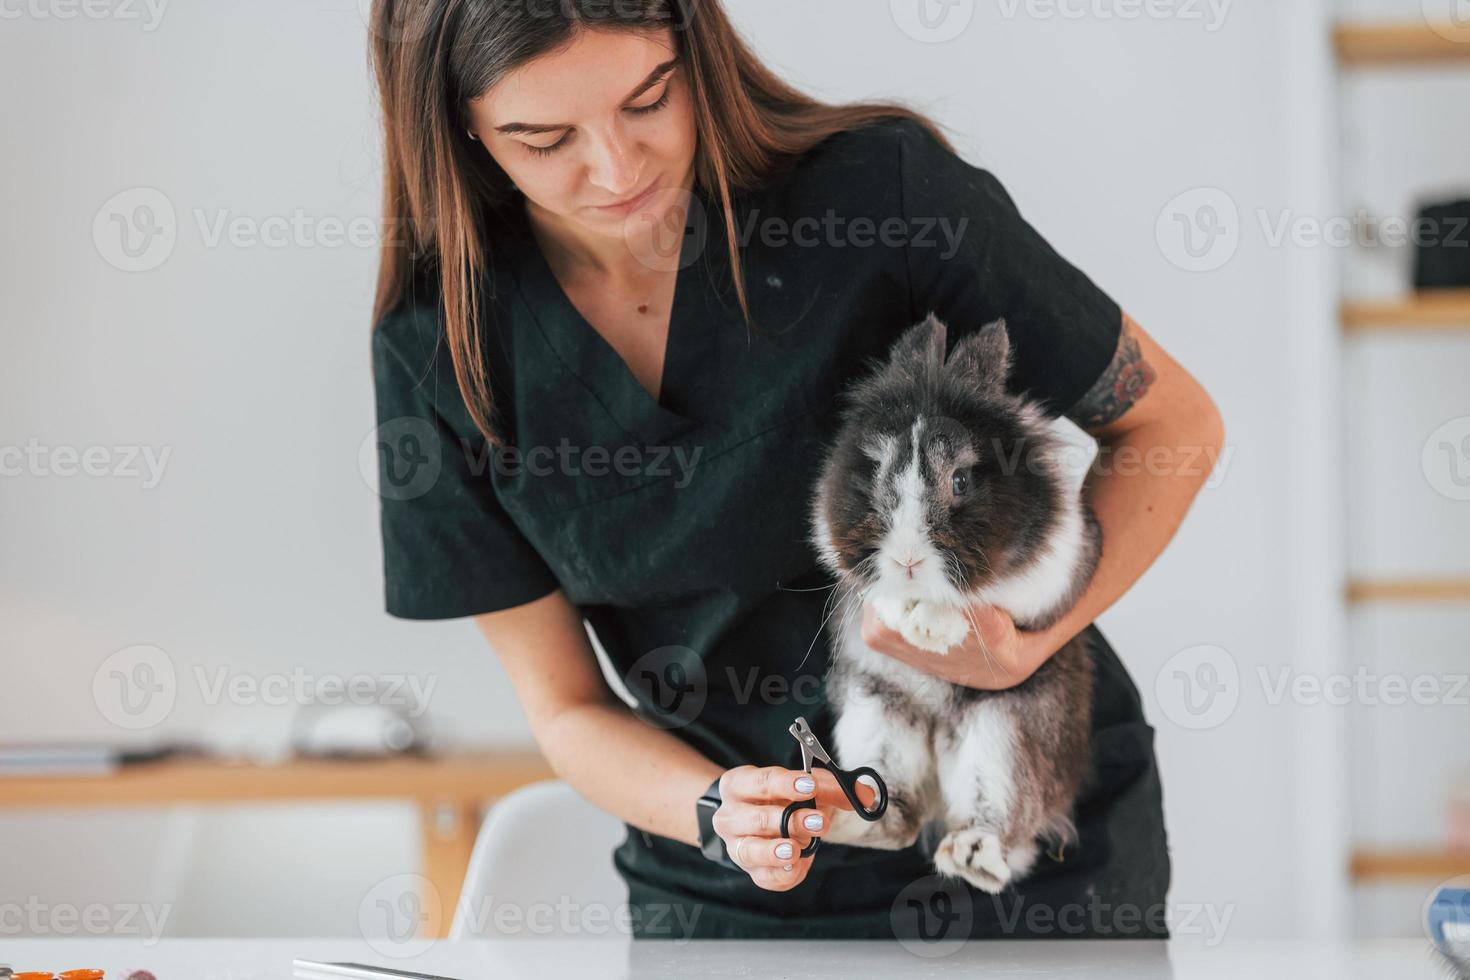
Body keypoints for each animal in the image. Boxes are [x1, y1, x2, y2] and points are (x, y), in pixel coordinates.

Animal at [811, 310, 1099, 893]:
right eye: (876, 472)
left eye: (962, 480)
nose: (907, 561)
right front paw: (899, 610)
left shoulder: (1058, 564)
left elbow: (988, 597)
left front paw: (929, 627)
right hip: (876, 709)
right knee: (897, 817)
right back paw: (847, 820)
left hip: (1003, 733)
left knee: (1002, 829)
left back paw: (971, 856)